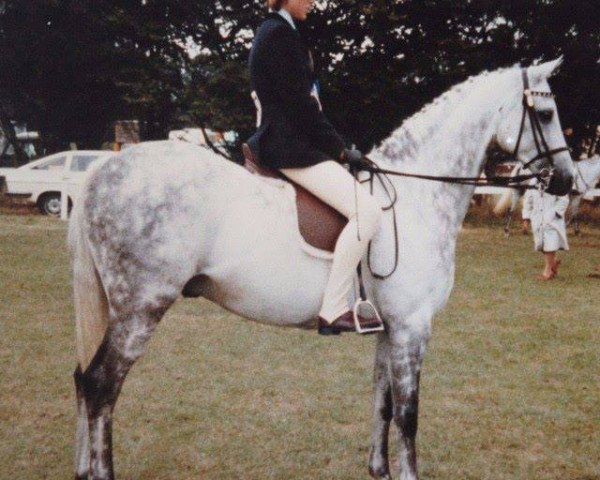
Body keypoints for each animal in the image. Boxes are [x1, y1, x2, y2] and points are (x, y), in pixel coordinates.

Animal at [69, 60, 572, 480]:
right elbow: (408, 415)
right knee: (101, 388)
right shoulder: (413, 328)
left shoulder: (391, 329)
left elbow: (382, 402)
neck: (415, 199)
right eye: (546, 114)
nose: (566, 182)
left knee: (83, 382)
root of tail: (100, 172)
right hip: (141, 309)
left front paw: (378, 470)